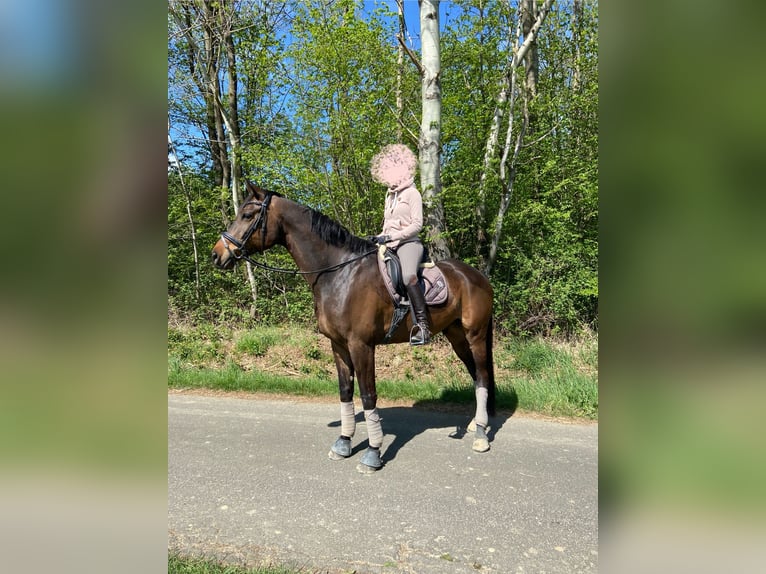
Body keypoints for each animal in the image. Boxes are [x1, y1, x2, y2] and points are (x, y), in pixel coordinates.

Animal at [212, 183, 498, 472]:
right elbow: (345, 392)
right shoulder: (338, 344)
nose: (217, 254)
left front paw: (372, 452)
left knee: (483, 375)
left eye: (247, 215)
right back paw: (475, 424)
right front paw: (343, 443)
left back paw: (481, 436)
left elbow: (368, 395)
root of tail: (477, 277)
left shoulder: (361, 345)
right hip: (456, 335)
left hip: (475, 335)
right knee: (476, 375)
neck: (339, 274)